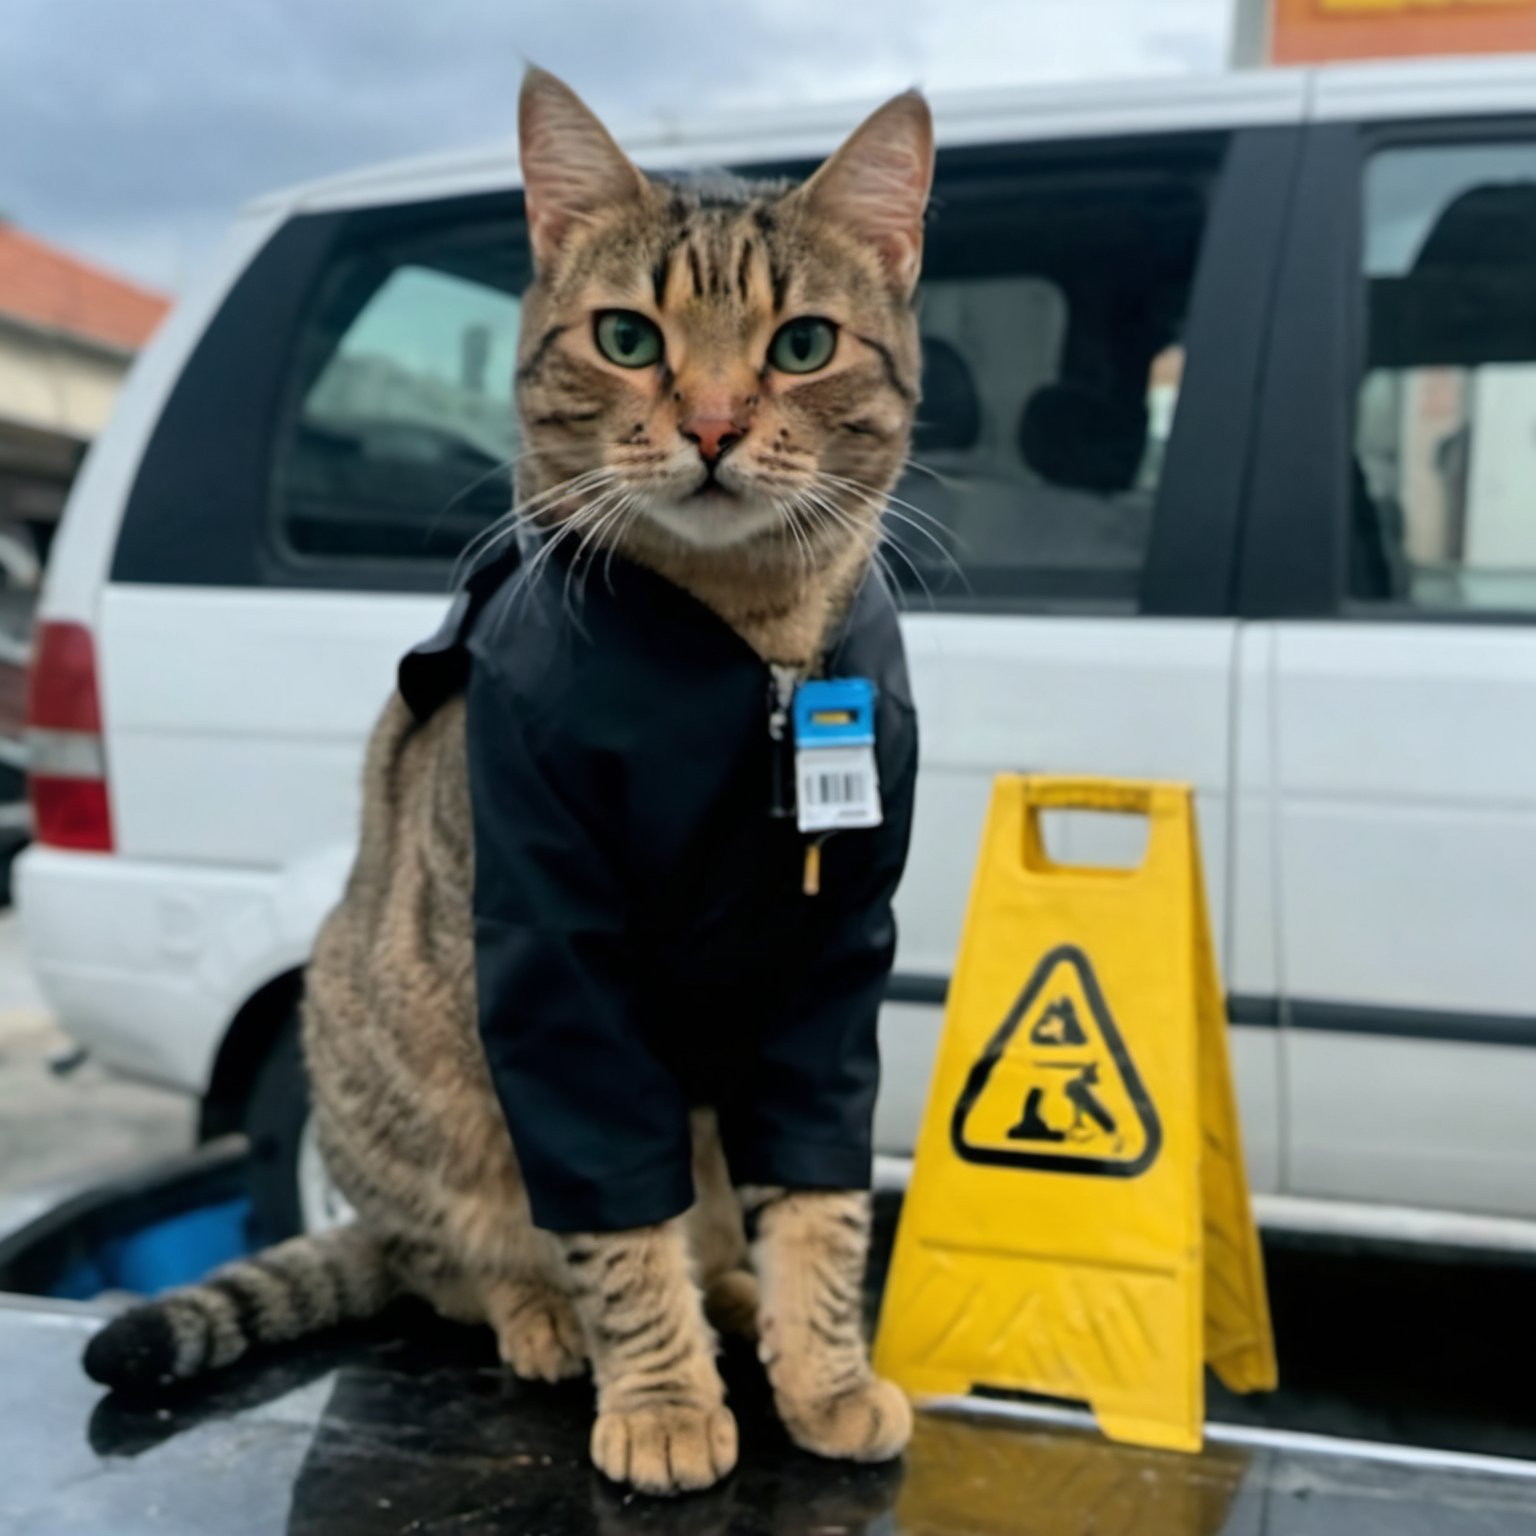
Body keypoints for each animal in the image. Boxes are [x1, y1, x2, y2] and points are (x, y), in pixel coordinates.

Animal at [87, 66, 933, 1492]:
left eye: (804, 346)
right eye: (629, 338)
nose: (713, 426)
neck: (749, 647)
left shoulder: (832, 972)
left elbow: (819, 1207)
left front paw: (823, 1375)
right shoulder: (555, 970)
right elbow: (619, 1230)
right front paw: (661, 1399)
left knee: (712, 1221)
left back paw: (737, 1299)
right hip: (396, 1071)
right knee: (451, 1260)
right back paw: (547, 1319)